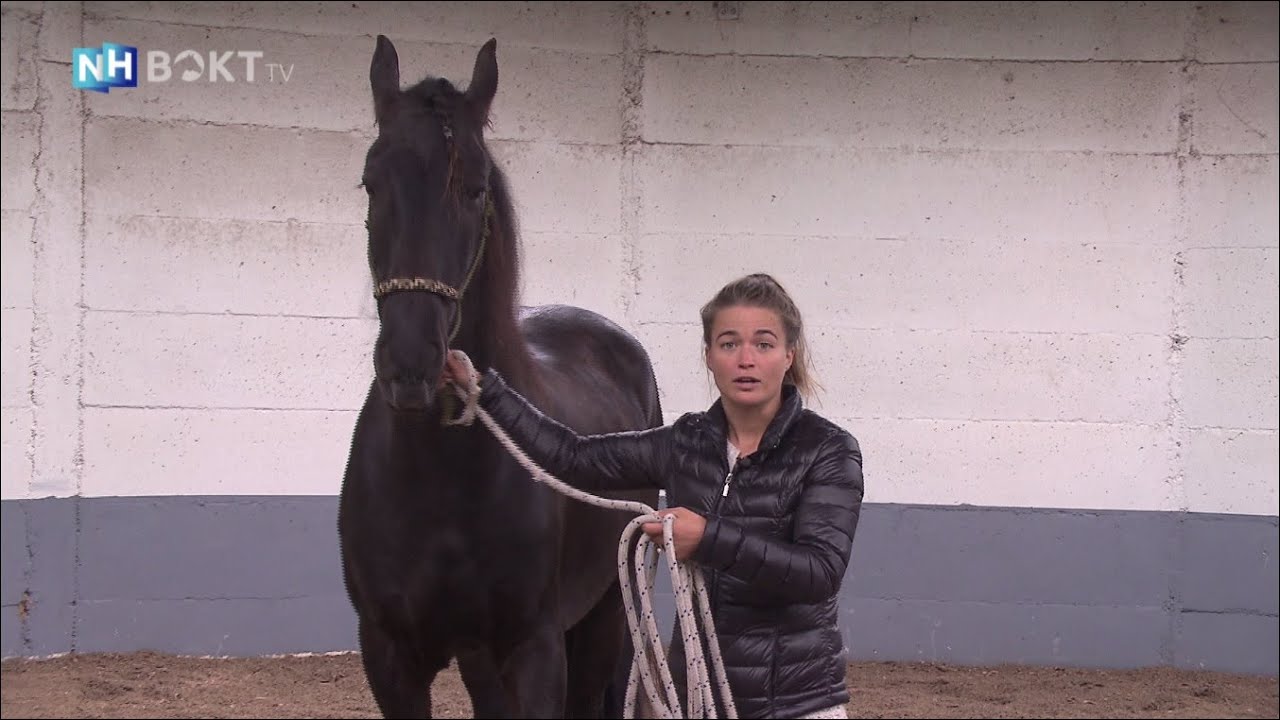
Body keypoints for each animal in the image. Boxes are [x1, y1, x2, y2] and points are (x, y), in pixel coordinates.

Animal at [337, 35, 663, 719]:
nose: (411, 364)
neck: (439, 477)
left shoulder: (534, 650)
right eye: (371, 182)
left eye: (475, 187)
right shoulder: (390, 658)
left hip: (606, 615)